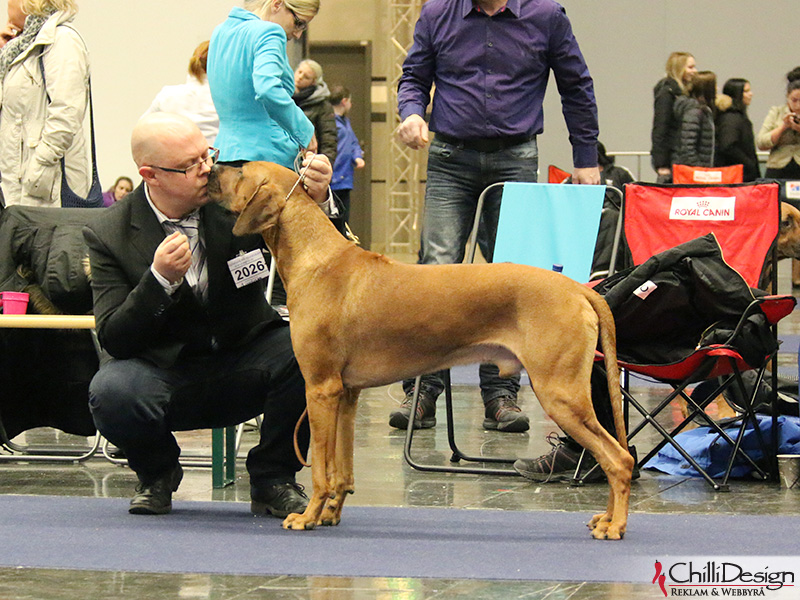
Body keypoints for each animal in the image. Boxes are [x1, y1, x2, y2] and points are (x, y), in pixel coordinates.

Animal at [209, 162, 636, 540]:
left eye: (240, 169)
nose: (212, 164)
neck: (316, 257)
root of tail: (578, 288)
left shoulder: (320, 389)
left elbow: (320, 471)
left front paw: (308, 516)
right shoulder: (346, 394)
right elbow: (342, 471)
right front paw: (330, 514)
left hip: (560, 394)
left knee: (620, 458)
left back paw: (615, 525)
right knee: (616, 455)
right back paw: (605, 518)